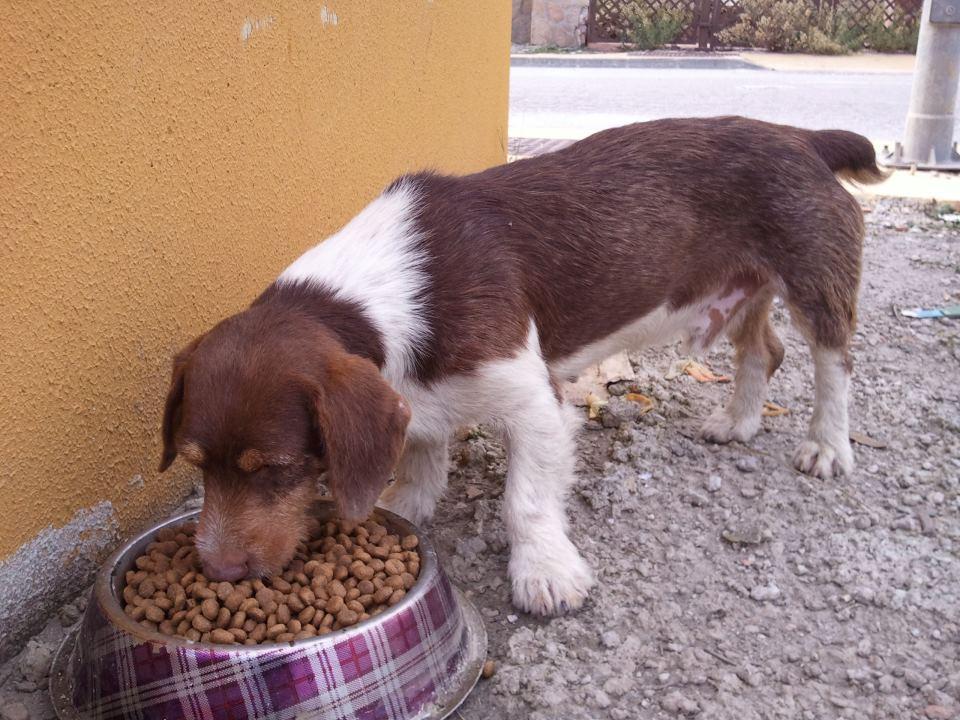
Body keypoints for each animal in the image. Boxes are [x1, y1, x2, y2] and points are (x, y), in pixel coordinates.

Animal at [158, 116, 884, 612]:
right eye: (196, 464)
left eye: (275, 469)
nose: (217, 571)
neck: (380, 293)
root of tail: (805, 137)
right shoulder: (414, 396)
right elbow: (421, 454)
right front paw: (407, 503)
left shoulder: (535, 402)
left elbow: (526, 500)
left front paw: (545, 574)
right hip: (741, 294)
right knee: (764, 350)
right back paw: (738, 422)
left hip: (815, 283)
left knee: (833, 362)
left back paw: (827, 446)